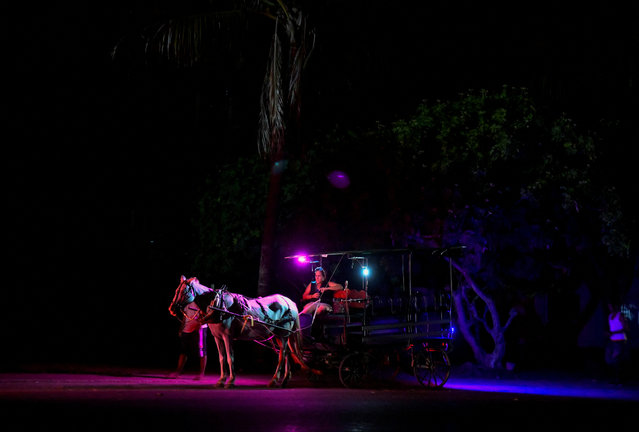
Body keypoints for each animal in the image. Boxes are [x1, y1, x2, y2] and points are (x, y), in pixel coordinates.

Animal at [169, 276, 312, 388]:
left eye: (184, 292)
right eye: (176, 291)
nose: (172, 309)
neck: (218, 305)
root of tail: (288, 301)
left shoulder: (227, 336)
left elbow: (230, 357)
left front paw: (231, 381)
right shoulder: (217, 337)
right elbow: (222, 358)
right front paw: (221, 380)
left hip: (283, 335)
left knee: (282, 355)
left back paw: (274, 380)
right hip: (279, 335)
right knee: (287, 354)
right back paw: (285, 379)